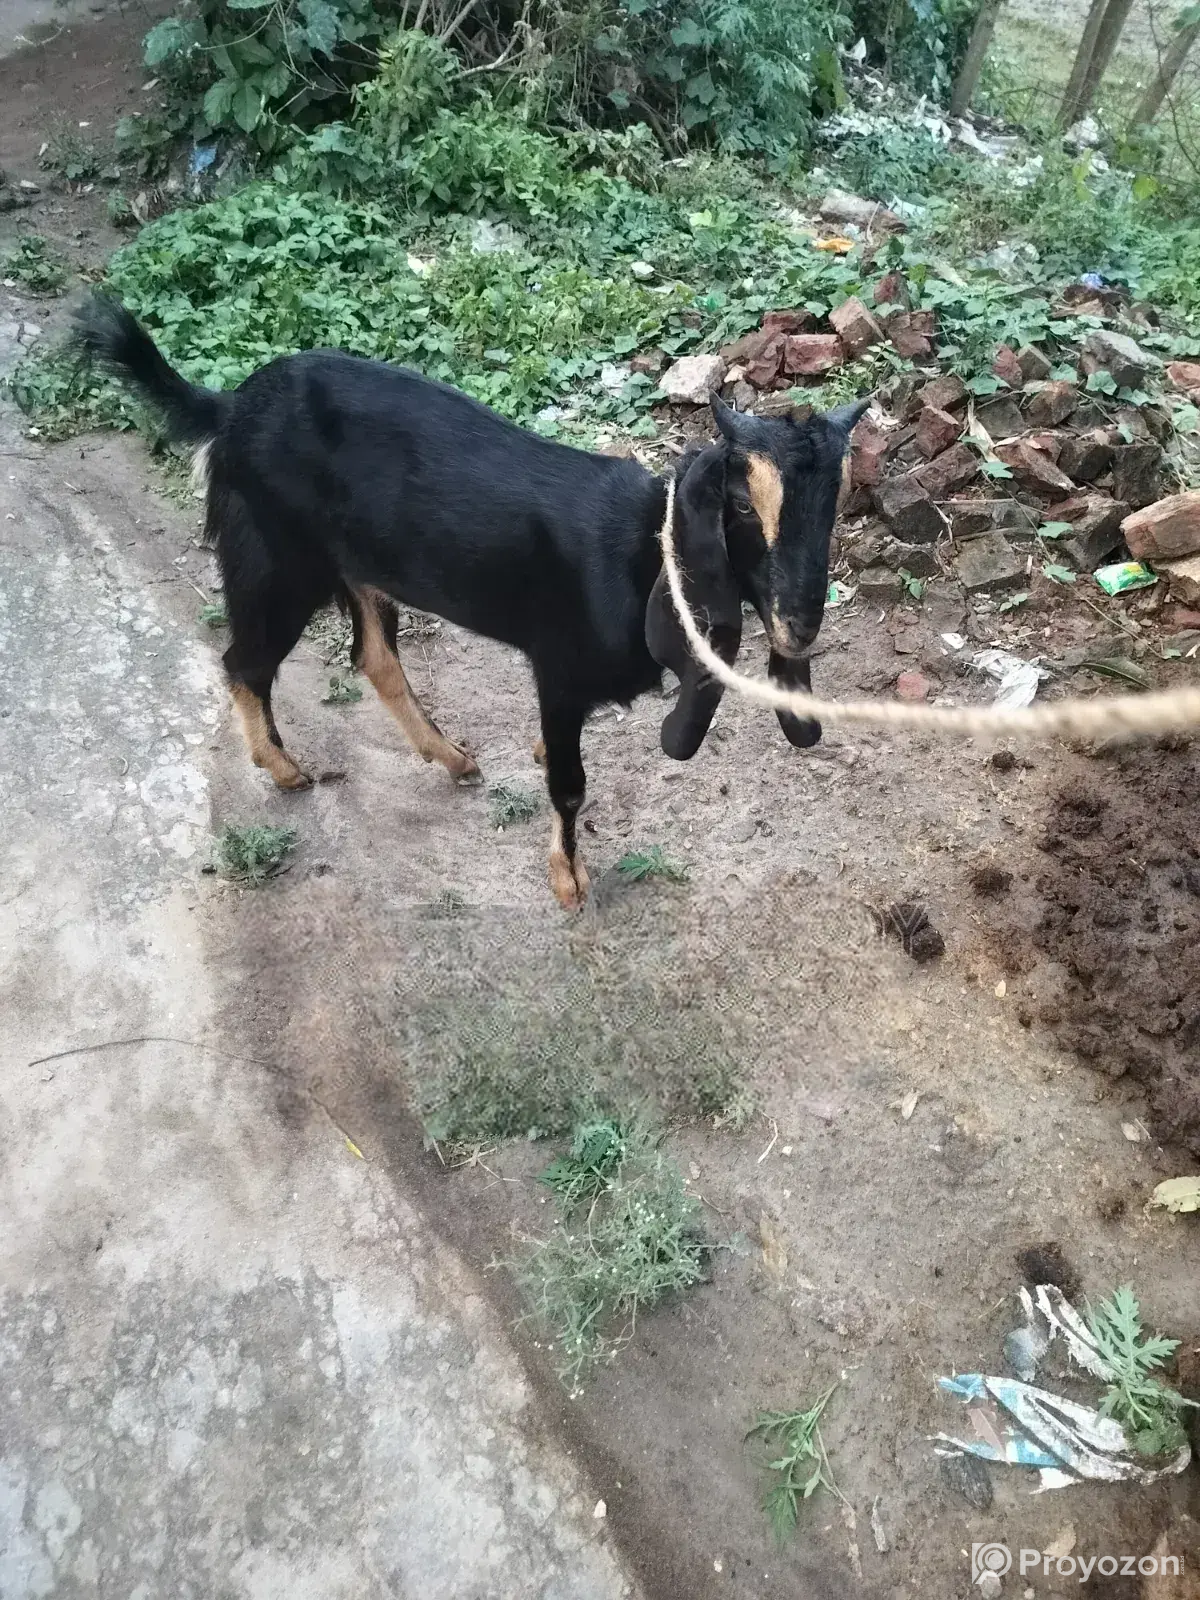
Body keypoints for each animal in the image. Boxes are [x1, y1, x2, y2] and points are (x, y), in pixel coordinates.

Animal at [75, 295, 866, 908]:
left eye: (833, 502)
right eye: (742, 504)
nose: (800, 626)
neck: (645, 552)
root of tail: (230, 407)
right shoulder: (558, 666)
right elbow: (570, 786)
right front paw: (569, 881)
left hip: (357, 567)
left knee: (373, 657)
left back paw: (451, 758)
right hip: (275, 559)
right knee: (245, 659)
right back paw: (286, 769)